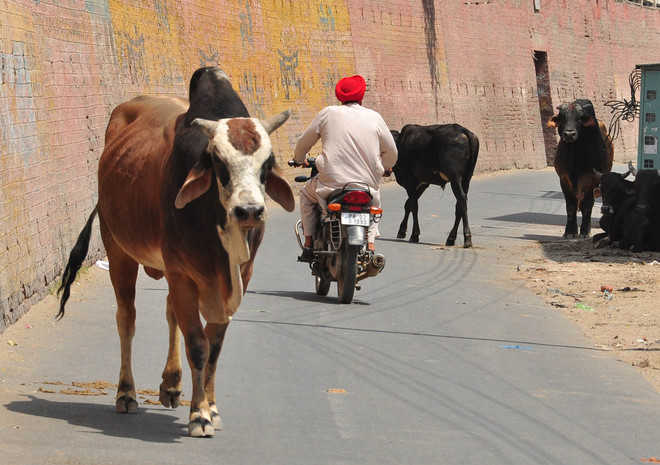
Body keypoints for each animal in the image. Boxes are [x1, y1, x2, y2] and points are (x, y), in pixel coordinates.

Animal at [56, 67, 295, 437]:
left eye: (266, 165)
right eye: (219, 163)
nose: (250, 211)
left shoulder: (238, 279)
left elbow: (214, 346)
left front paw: (211, 407)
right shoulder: (182, 273)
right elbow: (197, 344)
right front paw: (199, 415)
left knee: (170, 315)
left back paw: (171, 385)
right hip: (118, 248)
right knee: (127, 318)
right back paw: (126, 394)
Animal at [550, 99, 614, 238]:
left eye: (579, 118)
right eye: (562, 118)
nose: (569, 134)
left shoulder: (592, 180)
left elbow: (587, 206)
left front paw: (584, 231)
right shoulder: (564, 179)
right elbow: (571, 206)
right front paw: (570, 232)